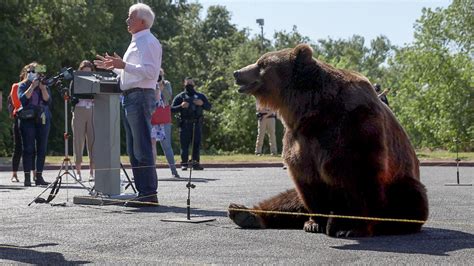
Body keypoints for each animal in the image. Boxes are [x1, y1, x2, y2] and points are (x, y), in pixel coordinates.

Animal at [230, 43, 430, 237]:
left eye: (262, 64)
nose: (237, 73)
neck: (313, 111)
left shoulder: (355, 126)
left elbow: (362, 177)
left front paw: (352, 228)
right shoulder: (299, 138)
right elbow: (306, 179)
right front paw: (315, 223)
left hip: (401, 185)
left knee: (407, 198)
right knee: (288, 199)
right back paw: (244, 213)